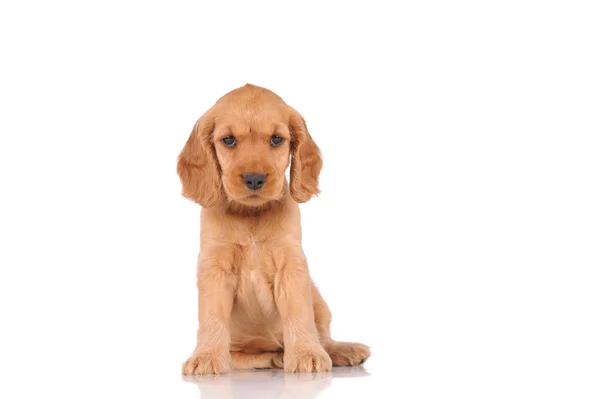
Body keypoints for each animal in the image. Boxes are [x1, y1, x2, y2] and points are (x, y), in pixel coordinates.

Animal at [176, 84, 368, 376]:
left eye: (277, 139)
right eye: (228, 140)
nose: (254, 179)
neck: (251, 215)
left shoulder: (291, 263)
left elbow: (299, 313)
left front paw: (307, 353)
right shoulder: (214, 265)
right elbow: (211, 316)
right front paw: (206, 356)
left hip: (320, 302)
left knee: (323, 337)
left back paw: (342, 351)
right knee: (251, 356)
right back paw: (277, 357)